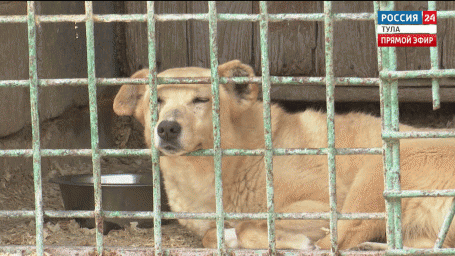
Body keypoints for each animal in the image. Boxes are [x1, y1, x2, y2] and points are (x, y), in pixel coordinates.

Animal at [114, 59, 455, 249]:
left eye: (200, 100)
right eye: (157, 101)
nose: (167, 128)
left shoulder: (321, 205)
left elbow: (248, 226)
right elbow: (213, 234)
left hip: (376, 174)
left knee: (336, 241)